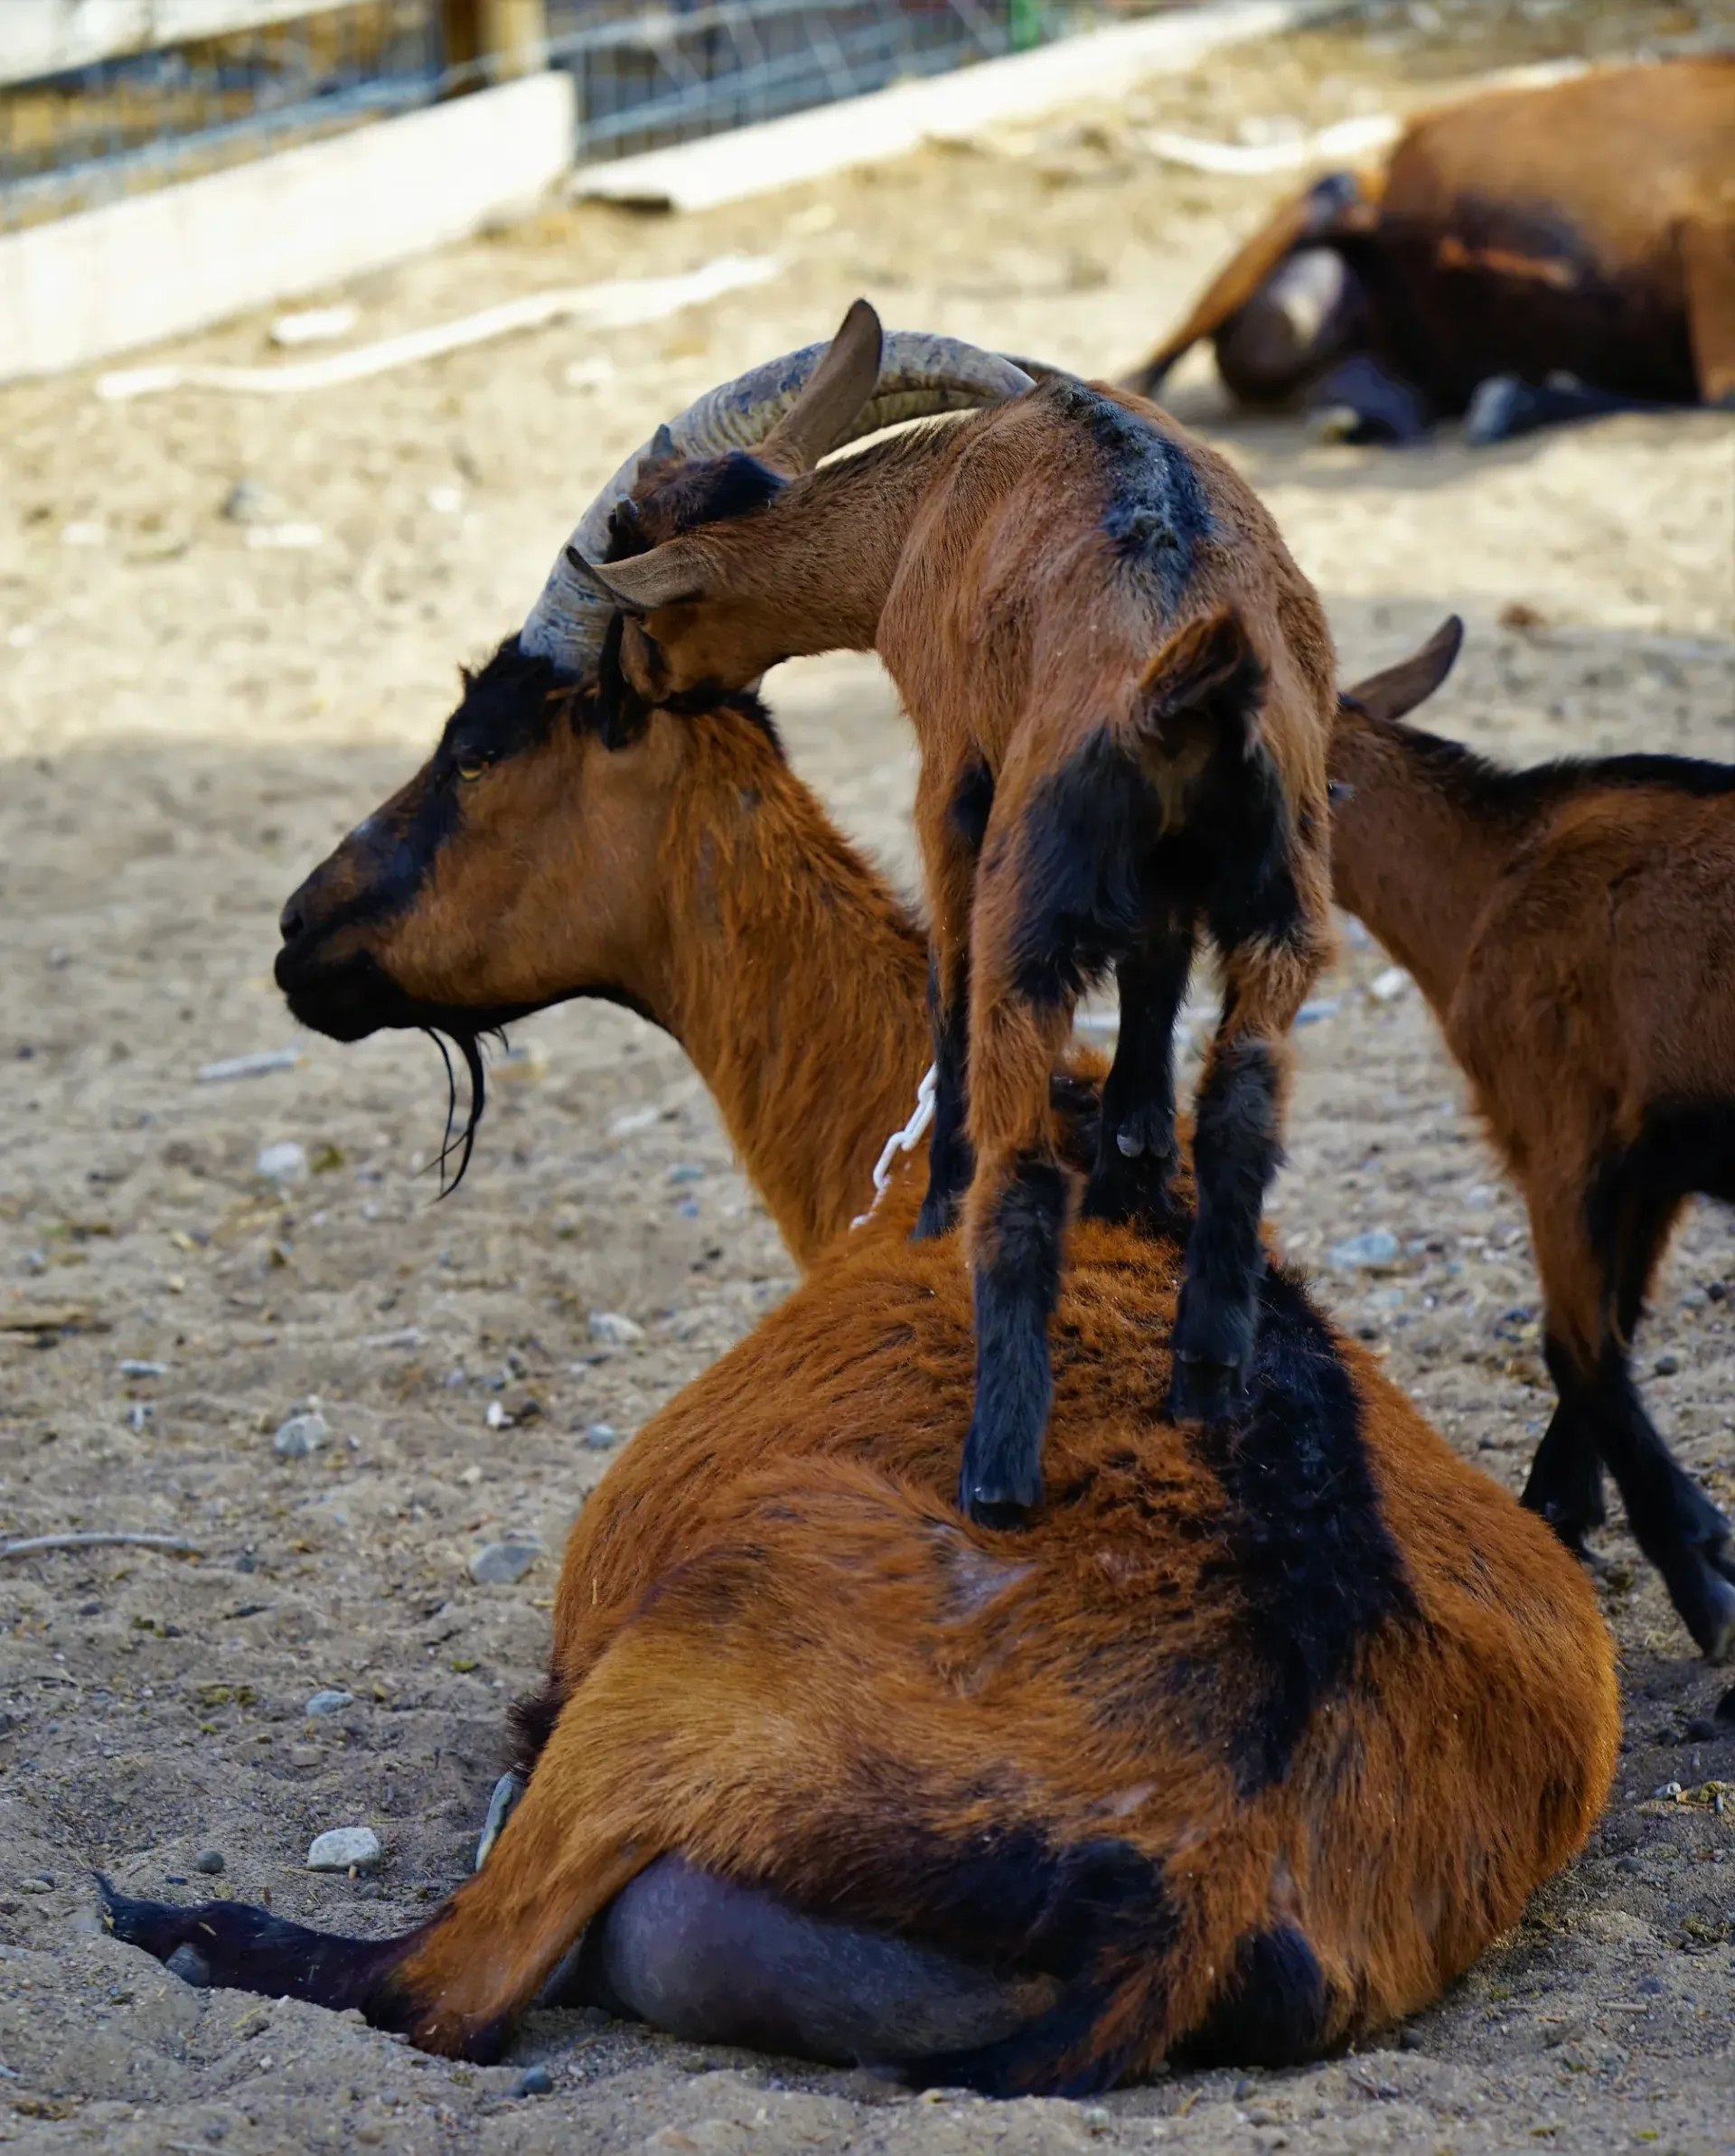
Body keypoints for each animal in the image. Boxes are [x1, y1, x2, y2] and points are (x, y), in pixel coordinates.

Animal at [109, 637, 1617, 2091]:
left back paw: (181, 1924)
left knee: (441, 1987)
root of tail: (1211, 1877)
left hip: (706, 1636)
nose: (301, 930)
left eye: (474, 748)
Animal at [573, 300, 1337, 1527]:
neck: (929, 506)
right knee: (1243, 1107)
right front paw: (1132, 1163)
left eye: (640, 622)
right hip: (1286, 893)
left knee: (1022, 1172)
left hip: (1037, 892)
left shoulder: (950, 773)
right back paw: (1207, 1372)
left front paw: (938, 1199)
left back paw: (998, 1468)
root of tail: (1184, 689)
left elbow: (947, 980)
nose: (611, 697)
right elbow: (1155, 981)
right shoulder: (1170, 895)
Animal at [1331, 616, 1735, 1662]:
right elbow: (1613, 1325)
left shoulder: (1558, 1131)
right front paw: (1558, 1510)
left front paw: (1703, 1582)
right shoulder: (1647, 1173)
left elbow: (1575, 1347)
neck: (1490, 879)